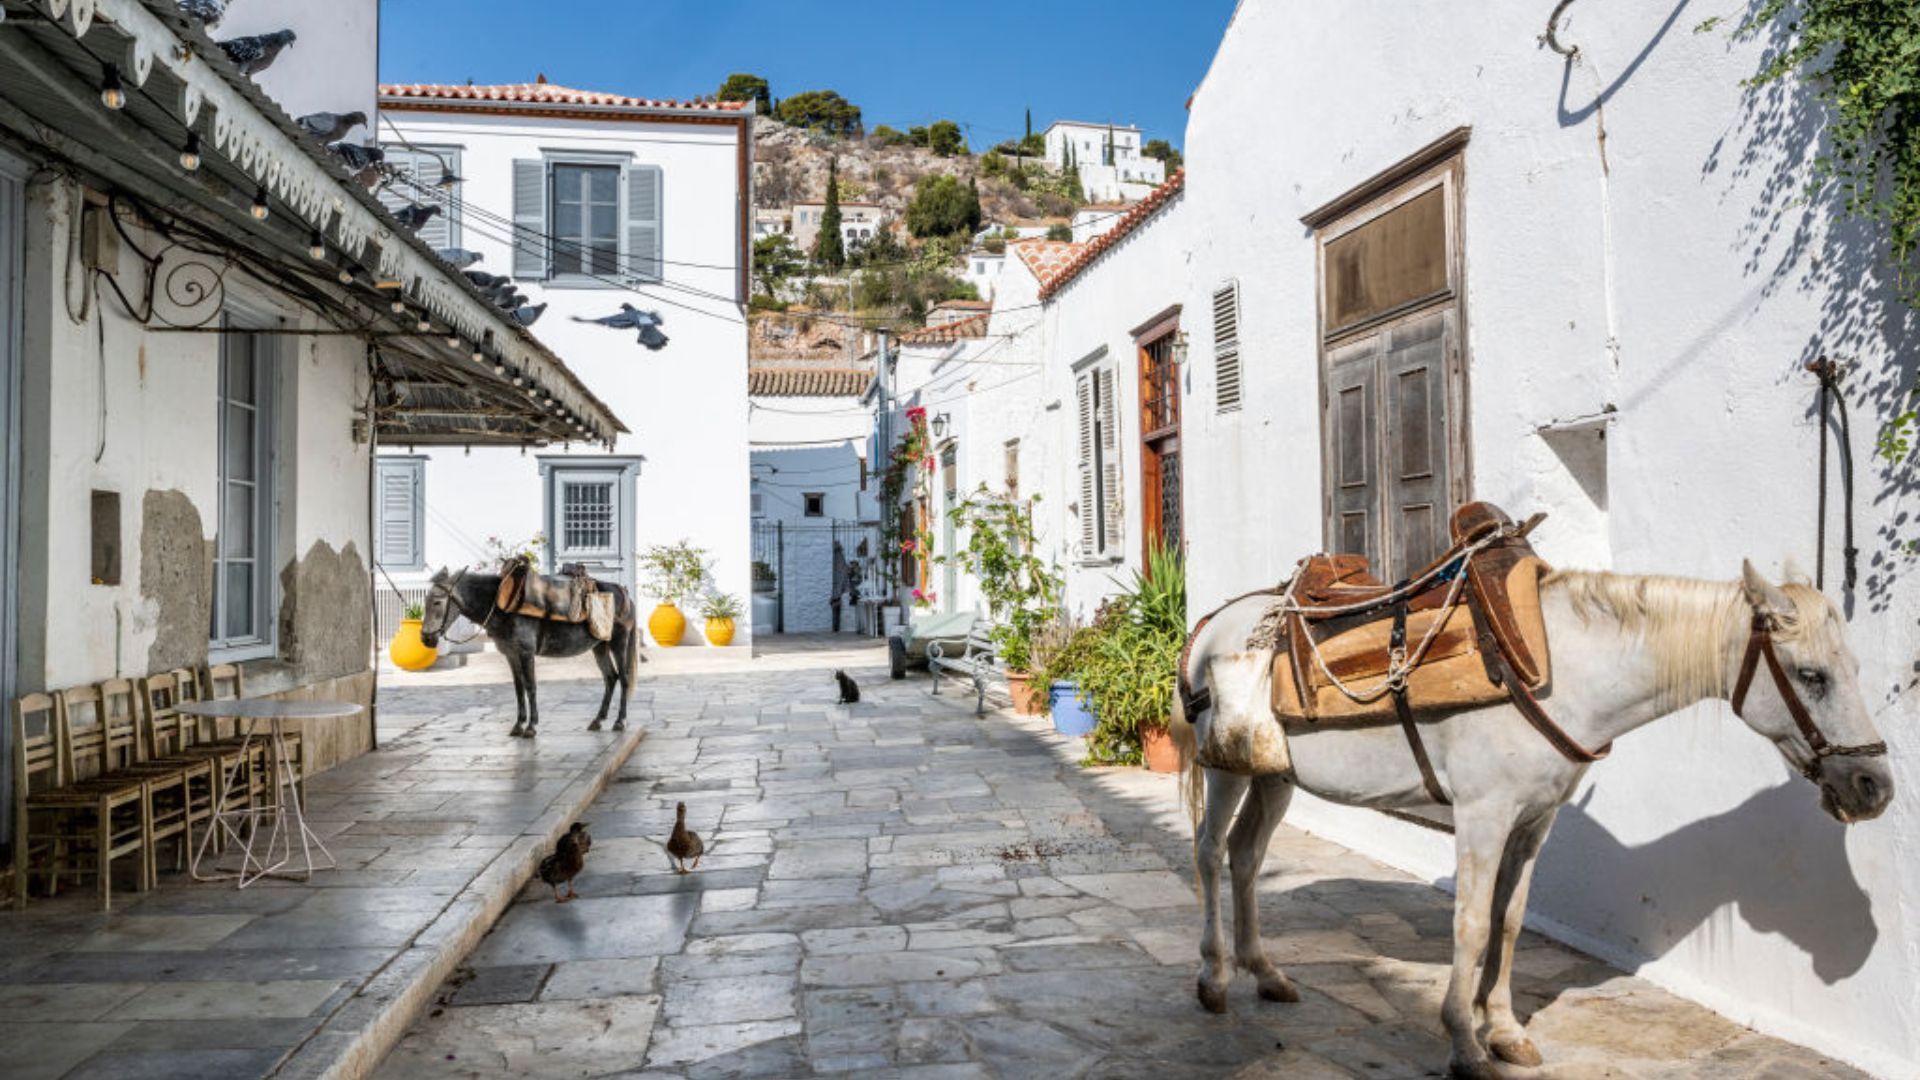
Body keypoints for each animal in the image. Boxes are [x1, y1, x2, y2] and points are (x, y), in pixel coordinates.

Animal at [1167, 557, 1889, 1068]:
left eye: (1852, 667)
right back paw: (1213, 978)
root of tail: (1214, 624)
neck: (1559, 668)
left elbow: (1508, 921)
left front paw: (1505, 1030)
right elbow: (1469, 925)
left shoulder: (1535, 821)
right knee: (1208, 852)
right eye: (1812, 675)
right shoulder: (1482, 816)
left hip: (1274, 775)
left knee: (1247, 857)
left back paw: (1266, 973)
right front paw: (1464, 1042)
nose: (1873, 786)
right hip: (1227, 768)